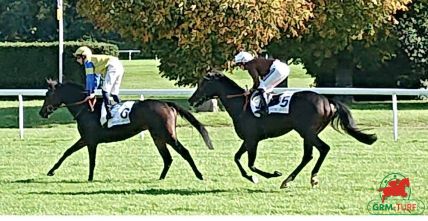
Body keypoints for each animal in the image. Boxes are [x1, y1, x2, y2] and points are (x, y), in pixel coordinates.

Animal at [39, 80, 213, 181]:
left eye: (48, 94)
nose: (42, 112)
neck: (86, 108)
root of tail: (167, 103)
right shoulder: (85, 139)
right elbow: (67, 152)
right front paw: (51, 171)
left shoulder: (90, 141)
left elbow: (91, 161)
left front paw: (89, 178)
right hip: (158, 136)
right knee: (167, 158)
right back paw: (160, 178)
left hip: (167, 134)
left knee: (184, 152)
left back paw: (199, 175)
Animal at [189, 72, 376, 188]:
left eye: (202, 83)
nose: (191, 99)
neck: (240, 105)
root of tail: (327, 100)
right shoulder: (248, 139)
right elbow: (237, 158)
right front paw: (251, 178)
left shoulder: (252, 139)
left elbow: (251, 164)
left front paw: (271, 174)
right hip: (308, 134)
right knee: (309, 155)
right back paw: (294, 179)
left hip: (307, 132)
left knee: (322, 149)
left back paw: (301, 178)